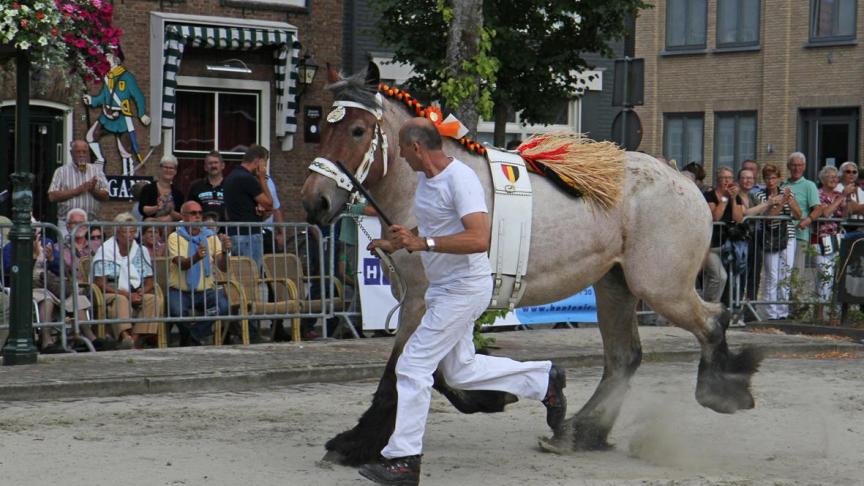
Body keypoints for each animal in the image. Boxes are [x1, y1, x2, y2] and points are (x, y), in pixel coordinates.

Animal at [300, 66, 760, 466]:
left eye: (358, 130)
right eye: (321, 127)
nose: (314, 201)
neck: (425, 185)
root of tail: (685, 182)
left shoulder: (419, 301)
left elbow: (399, 374)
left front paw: (352, 444)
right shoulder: (433, 302)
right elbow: (446, 371)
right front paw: (493, 396)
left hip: (661, 287)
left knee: (713, 321)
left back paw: (723, 389)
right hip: (614, 285)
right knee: (624, 357)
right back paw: (578, 432)